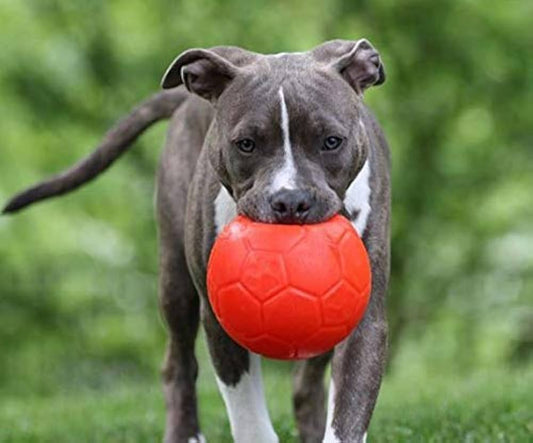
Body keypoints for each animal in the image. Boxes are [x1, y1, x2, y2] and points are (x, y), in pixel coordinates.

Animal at [4, 39, 390, 443]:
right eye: (246, 144)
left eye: (332, 142)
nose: (291, 201)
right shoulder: (219, 319)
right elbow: (249, 416)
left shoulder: (365, 318)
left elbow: (348, 409)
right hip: (174, 283)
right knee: (177, 363)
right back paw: (185, 432)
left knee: (306, 378)